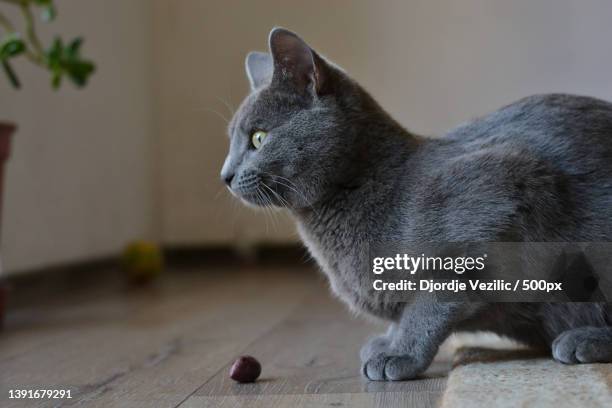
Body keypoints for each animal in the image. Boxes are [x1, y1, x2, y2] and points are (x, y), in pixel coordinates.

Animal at [220, 27, 612, 380]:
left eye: (258, 138)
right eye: (232, 141)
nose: (224, 175)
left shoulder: (501, 196)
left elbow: (427, 307)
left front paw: (400, 354)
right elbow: (404, 313)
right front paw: (386, 342)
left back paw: (584, 339)